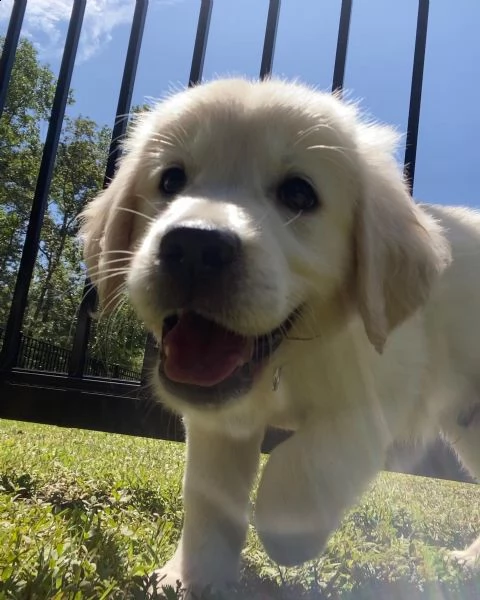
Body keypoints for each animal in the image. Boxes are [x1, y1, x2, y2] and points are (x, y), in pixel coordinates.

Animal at [79, 77, 480, 592]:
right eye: (170, 180)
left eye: (298, 194)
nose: (195, 246)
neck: (287, 357)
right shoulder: (216, 419)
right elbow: (207, 498)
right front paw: (190, 578)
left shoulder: (380, 395)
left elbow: (308, 463)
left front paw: (288, 534)